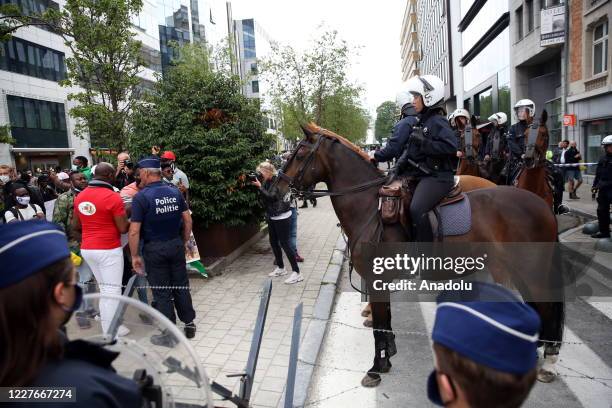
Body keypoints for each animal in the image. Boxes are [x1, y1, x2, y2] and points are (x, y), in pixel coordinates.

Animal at [278, 122, 564, 388]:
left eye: (299, 154)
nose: (275, 189)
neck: (370, 207)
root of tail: (543, 206)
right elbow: (386, 321)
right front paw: (387, 357)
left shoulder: (377, 281)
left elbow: (380, 325)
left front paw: (377, 366)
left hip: (530, 271)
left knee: (547, 308)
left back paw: (549, 360)